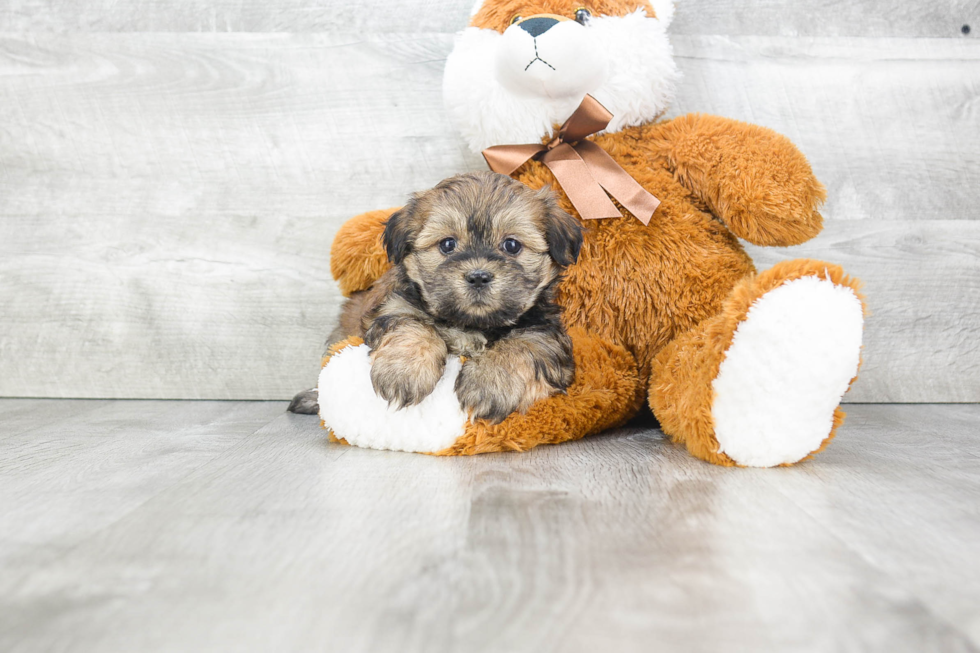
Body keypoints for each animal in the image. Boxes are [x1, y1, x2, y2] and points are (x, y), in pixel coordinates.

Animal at [290, 169, 580, 422]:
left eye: (511, 245)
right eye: (447, 244)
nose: (478, 276)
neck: (469, 323)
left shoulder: (545, 331)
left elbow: (521, 345)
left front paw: (490, 382)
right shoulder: (394, 307)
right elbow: (413, 327)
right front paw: (404, 371)